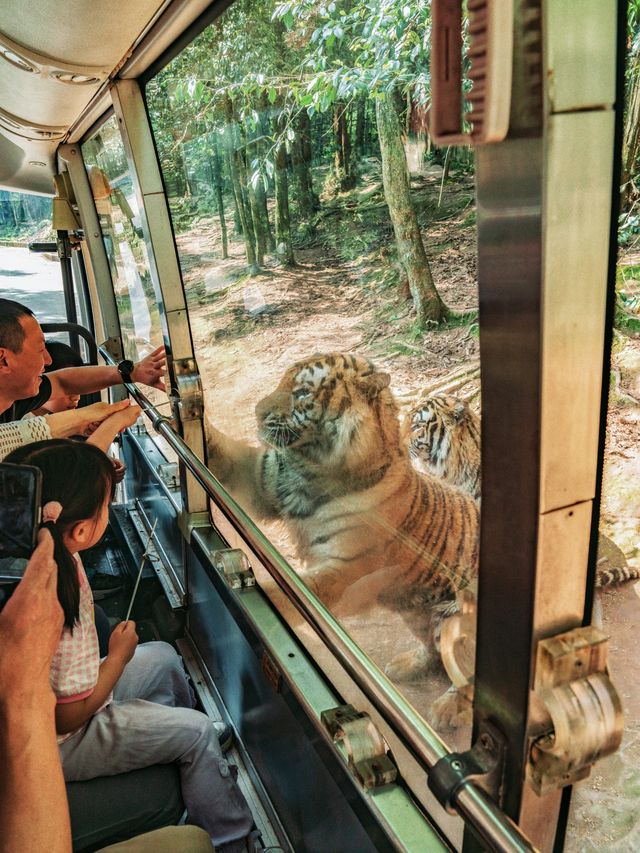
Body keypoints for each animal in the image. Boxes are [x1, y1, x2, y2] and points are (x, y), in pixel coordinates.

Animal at [205, 350, 480, 688]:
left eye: (302, 393)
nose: (257, 413)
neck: (314, 471)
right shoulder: (262, 477)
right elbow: (221, 449)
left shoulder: (345, 571)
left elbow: (285, 593)